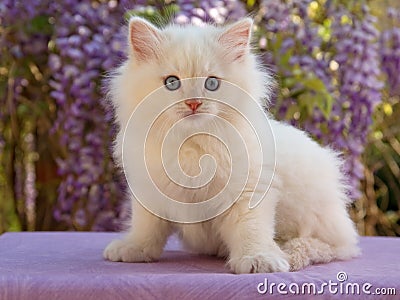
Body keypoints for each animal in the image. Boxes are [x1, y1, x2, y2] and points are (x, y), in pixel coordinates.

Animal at [104, 17, 360, 274]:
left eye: (212, 83)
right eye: (172, 82)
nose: (194, 103)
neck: (192, 144)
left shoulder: (248, 188)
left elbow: (251, 229)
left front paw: (260, 259)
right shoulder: (149, 190)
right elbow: (146, 227)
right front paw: (134, 249)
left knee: (332, 247)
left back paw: (290, 252)